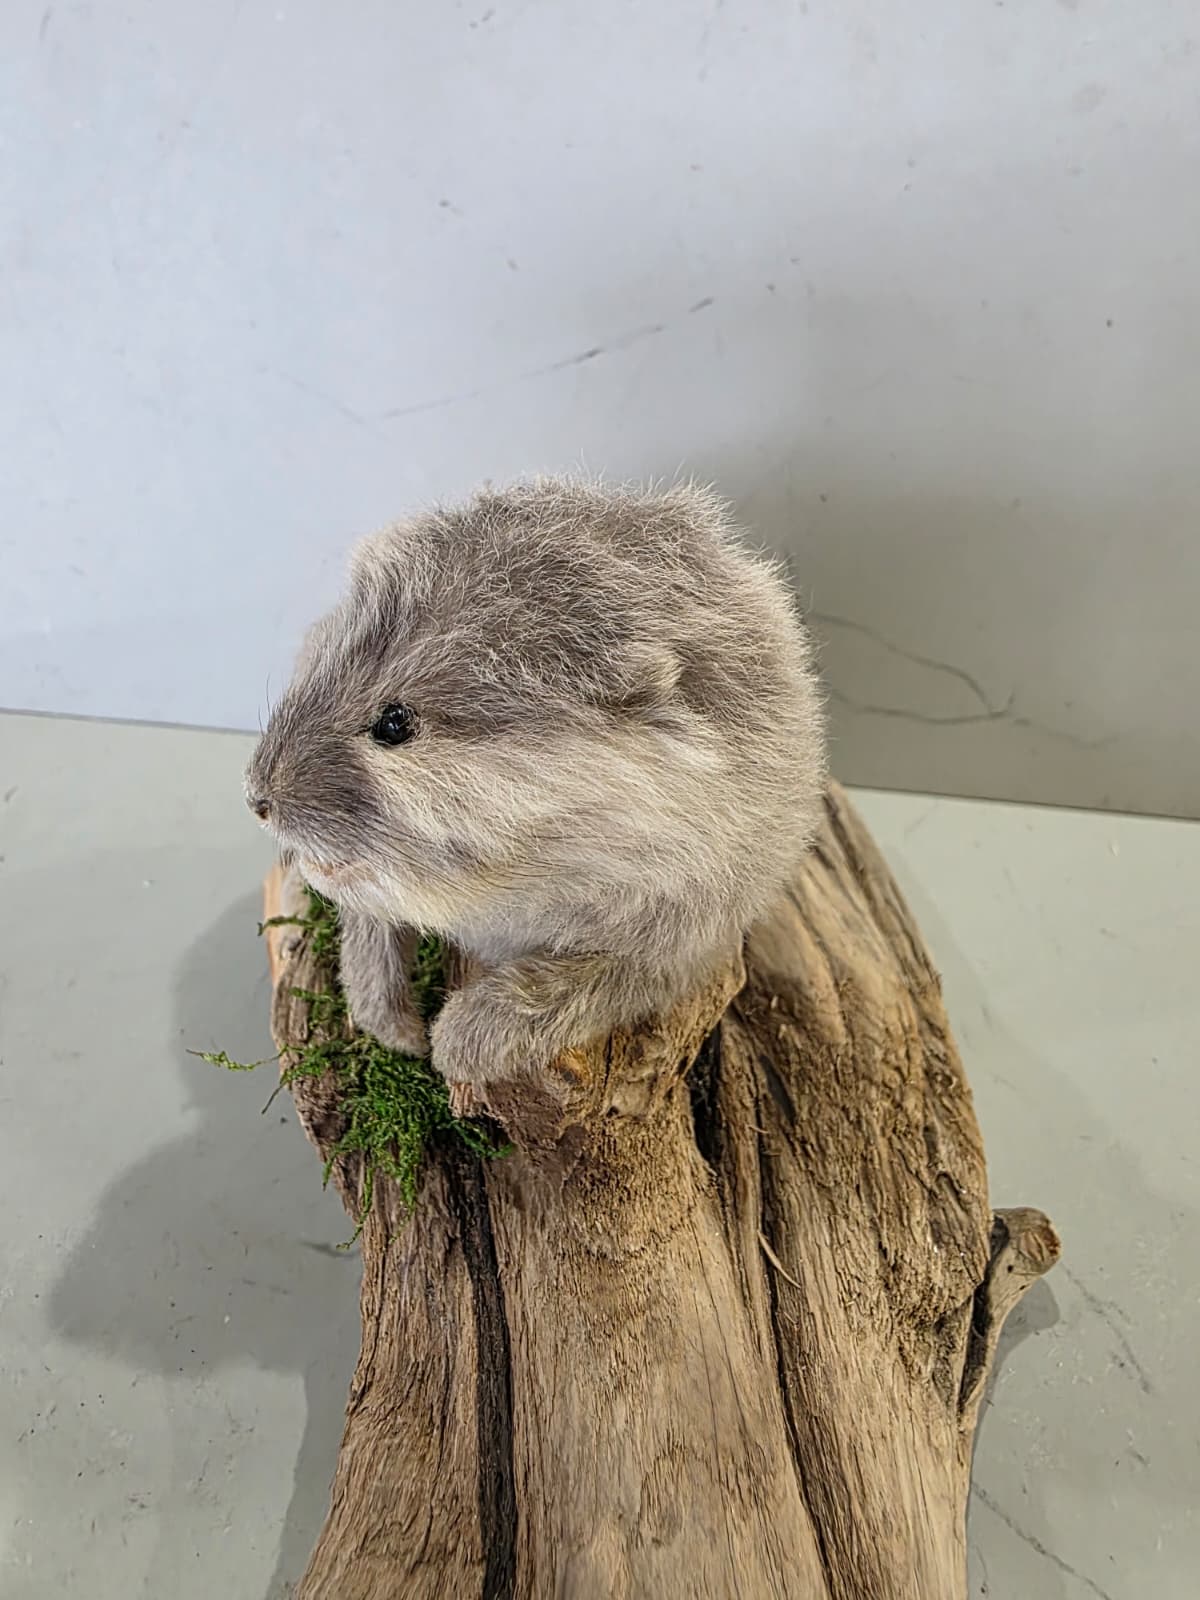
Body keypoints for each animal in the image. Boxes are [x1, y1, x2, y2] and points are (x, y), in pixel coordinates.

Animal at [245, 477, 825, 1109]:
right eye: (321, 659)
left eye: (394, 723)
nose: (258, 797)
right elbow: (369, 922)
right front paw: (392, 1022)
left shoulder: (690, 927)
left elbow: (598, 982)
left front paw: (461, 1036)